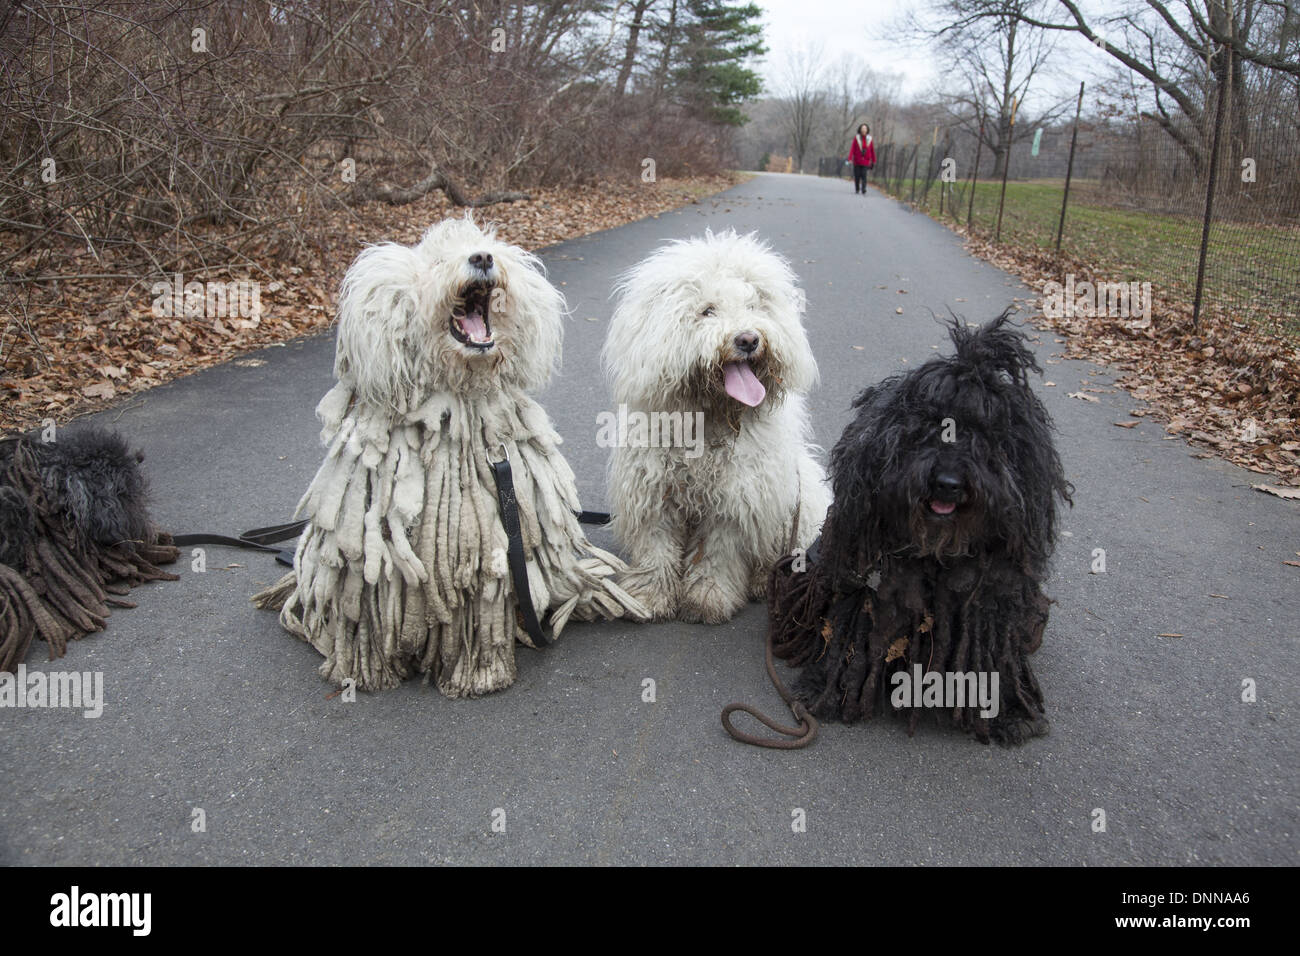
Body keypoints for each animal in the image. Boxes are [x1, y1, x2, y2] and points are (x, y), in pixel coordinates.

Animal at [258, 214, 650, 697]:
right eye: (438, 262)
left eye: (482, 246)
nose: (481, 257)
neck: (459, 400)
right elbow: (370, 614)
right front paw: (371, 672)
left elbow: (481, 611)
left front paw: (477, 673)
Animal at [600, 227, 826, 624]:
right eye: (707, 310)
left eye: (755, 306)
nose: (748, 339)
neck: (710, 419)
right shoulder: (654, 497)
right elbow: (656, 552)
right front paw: (650, 597)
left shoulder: (733, 504)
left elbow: (715, 557)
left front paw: (708, 598)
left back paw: (760, 582)